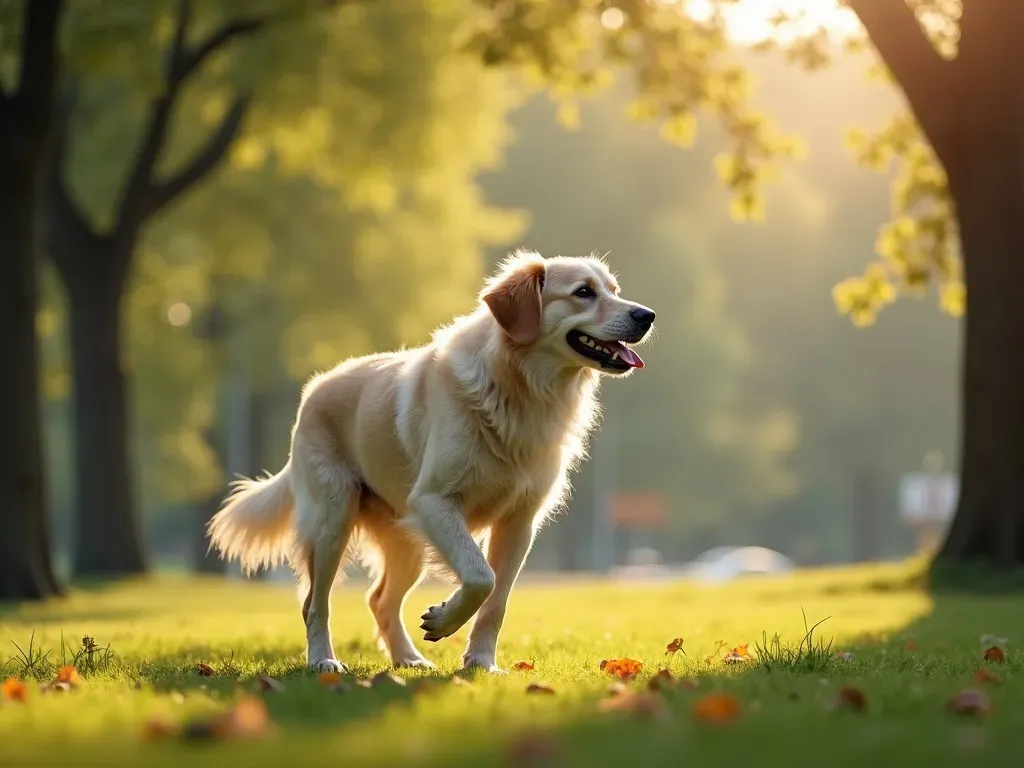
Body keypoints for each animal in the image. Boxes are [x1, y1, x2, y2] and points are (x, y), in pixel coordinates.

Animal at [207, 250, 655, 671]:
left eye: (613, 289)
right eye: (584, 292)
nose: (647, 315)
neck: (518, 389)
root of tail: (313, 389)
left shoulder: (519, 522)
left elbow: (497, 600)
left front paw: (481, 663)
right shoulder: (435, 501)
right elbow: (481, 576)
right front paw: (443, 621)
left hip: (407, 543)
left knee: (379, 599)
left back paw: (408, 659)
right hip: (332, 521)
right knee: (315, 604)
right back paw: (323, 661)